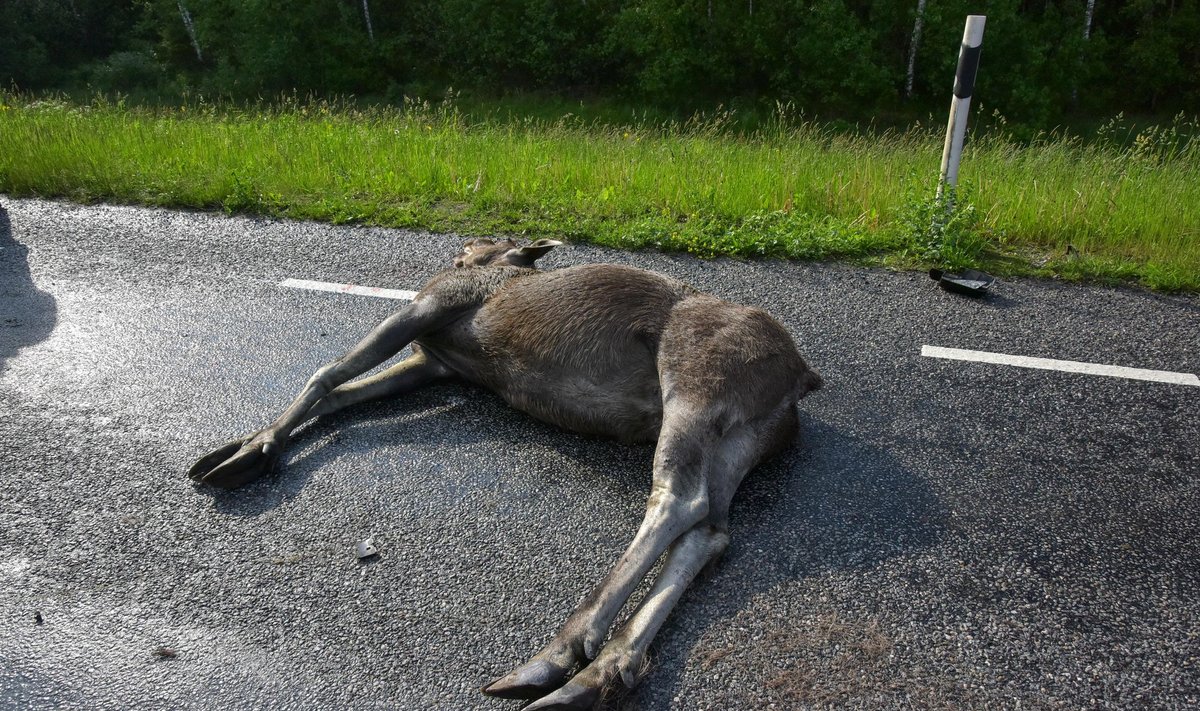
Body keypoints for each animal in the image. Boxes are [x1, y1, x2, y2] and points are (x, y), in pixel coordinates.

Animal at [189, 237, 825, 706]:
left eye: (479, 246)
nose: (463, 246)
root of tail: (801, 378)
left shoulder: (427, 307)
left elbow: (327, 373)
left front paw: (250, 451)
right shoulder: (435, 364)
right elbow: (342, 394)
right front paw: (244, 445)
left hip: (693, 389)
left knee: (676, 501)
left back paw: (559, 653)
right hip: (738, 439)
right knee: (711, 531)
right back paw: (596, 676)